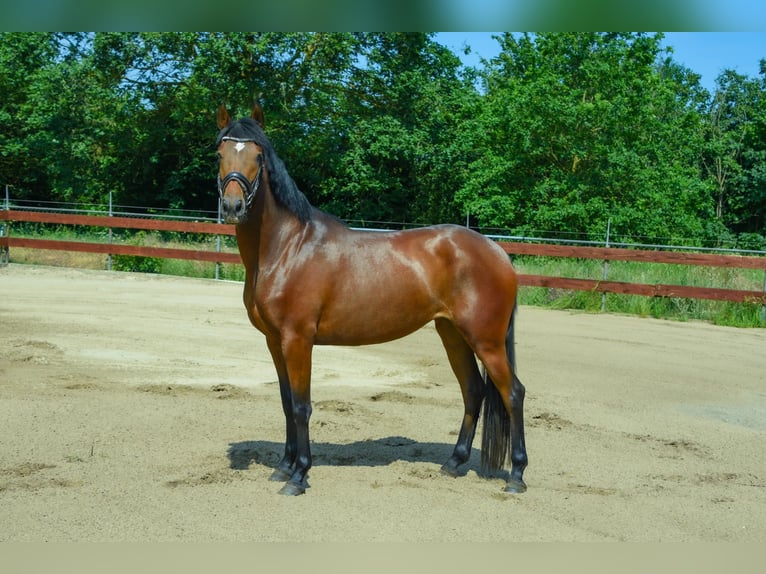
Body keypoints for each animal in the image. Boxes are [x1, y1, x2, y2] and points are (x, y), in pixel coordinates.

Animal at [216, 103, 528, 496]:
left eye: (258, 156)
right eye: (219, 153)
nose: (233, 206)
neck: (288, 248)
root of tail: (497, 251)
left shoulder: (298, 340)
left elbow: (302, 406)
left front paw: (299, 476)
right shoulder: (276, 341)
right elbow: (287, 403)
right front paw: (283, 468)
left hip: (486, 340)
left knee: (513, 393)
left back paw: (517, 476)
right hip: (453, 334)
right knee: (473, 391)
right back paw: (454, 463)